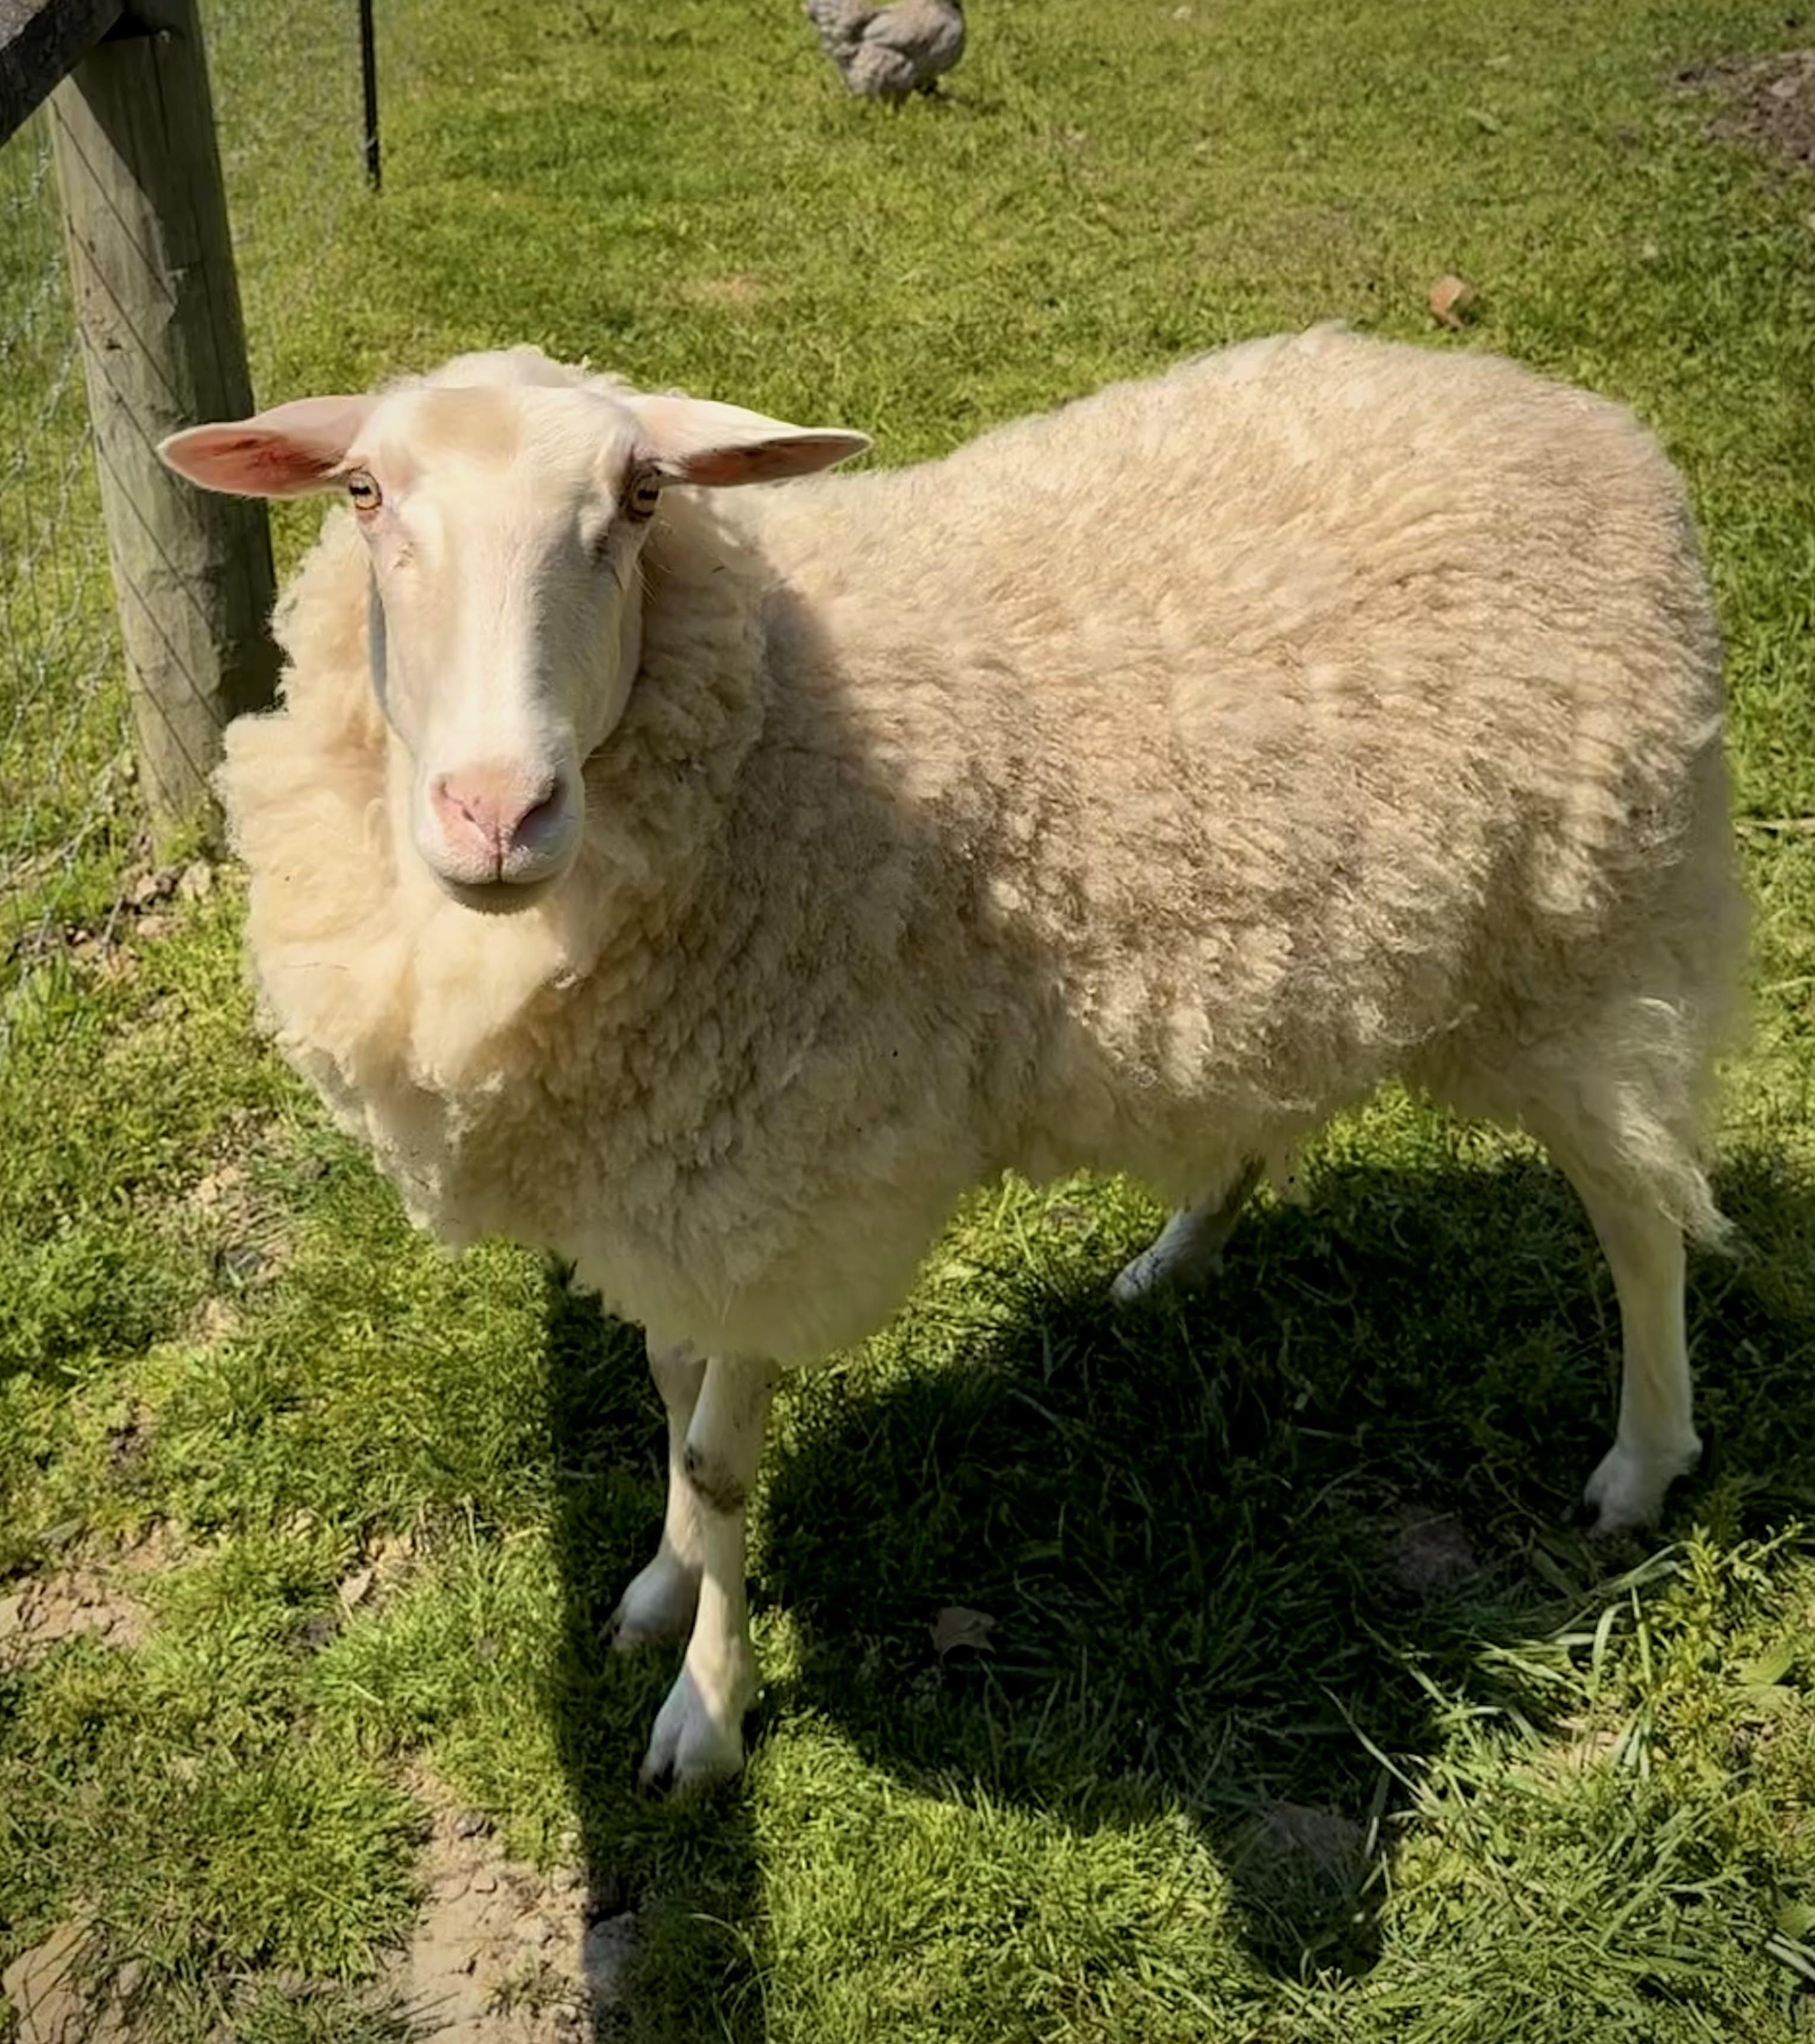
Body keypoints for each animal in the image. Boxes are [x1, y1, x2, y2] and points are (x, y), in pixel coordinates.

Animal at [158, 328, 1747, 1791]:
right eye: (364, 491)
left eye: (640, 497)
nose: (499, 811)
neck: (779, 716)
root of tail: (1582, 418)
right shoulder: (671, 1177)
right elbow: (669, 1390)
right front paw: (662, 1582)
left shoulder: (782, 1177)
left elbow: (719, 1455)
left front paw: (706, 1708)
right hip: (1311, 956)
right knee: (1265, 1117)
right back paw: (1169, 1262)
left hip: (1585, 935)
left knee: (1639, 1213)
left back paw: (1640, 1457)